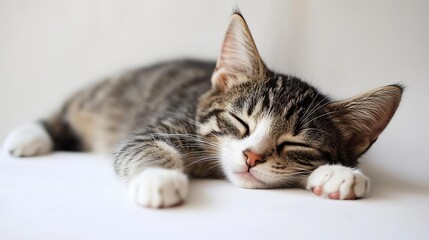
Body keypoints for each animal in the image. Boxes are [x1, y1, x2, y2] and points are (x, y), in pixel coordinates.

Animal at [3, 12, 402, 208]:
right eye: (240, 122)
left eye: (296, 144)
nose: (252, 157)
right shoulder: (162, 124)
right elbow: (140, 145)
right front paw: (159, 178)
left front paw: (337, 175)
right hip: (100, 95)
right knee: (63, 112)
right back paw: (28, 136)